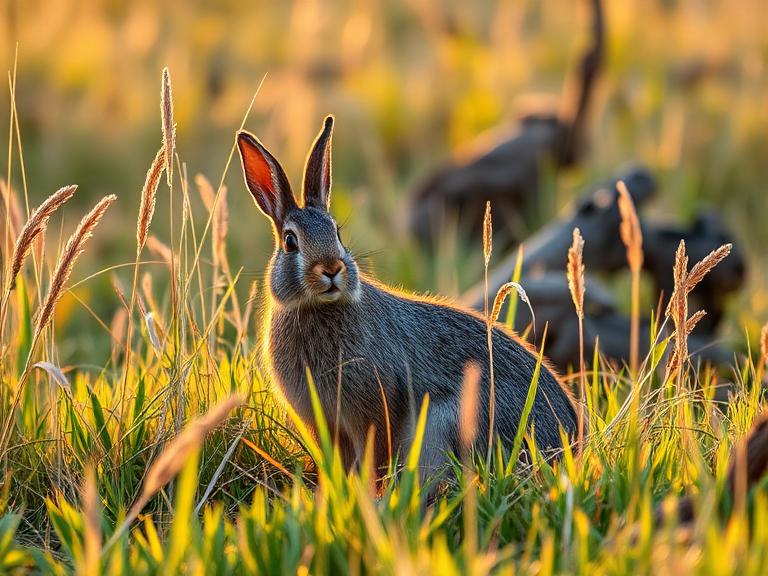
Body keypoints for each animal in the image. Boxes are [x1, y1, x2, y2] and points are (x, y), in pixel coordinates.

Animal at [236, 115, 580, 480]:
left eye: (337, 234)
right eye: (290, 242)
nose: (331, 268)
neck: (319, 309)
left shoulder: (374, 406)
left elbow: (372, 453)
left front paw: (368, 488)